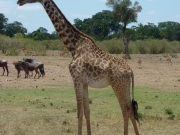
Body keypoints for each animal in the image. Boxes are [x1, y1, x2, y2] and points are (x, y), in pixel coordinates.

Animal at [17, 0, 139, 134]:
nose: (18, 2)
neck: (73, 46)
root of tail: (131, 71)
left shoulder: (76, 79)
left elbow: (79, 112)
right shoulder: (84, 83)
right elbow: (87, 111)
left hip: (117, 85)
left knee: (125, 110)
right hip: (125, 86)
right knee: (131, 110)